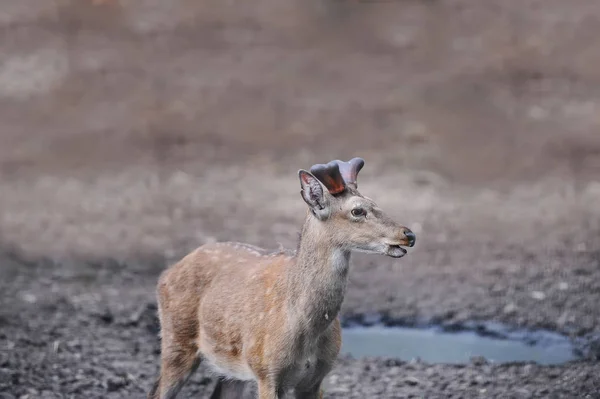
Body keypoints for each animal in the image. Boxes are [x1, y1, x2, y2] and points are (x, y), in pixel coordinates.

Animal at [148, 159, 414, 399]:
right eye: (357, 210)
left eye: (375, 203)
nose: (408, 234)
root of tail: (166, 274)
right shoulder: (266, 372)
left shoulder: (316, 377)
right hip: (176, 341)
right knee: (157, 390)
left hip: (230, 369)